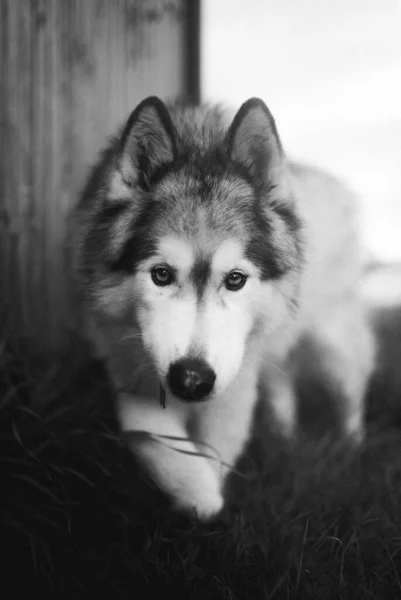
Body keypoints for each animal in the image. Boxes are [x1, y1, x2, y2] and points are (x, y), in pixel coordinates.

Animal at [72, 96, 376, 516]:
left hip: (334, 348)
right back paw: (284, 435)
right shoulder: (130, 370)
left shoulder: (234, 384)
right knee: (282, 384)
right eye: (161, 275)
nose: (192, 379)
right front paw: (196, 494)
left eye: (235, 279)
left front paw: (210, 500)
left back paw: (352, 449)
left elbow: (216, 449)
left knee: (350, 395)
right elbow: (153, 441)